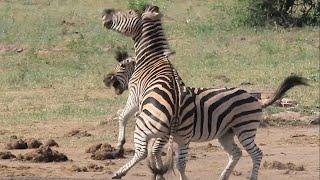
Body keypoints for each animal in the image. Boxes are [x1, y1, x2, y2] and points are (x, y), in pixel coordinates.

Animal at [104, 47, 308, 180]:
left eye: (122, 66)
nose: (107, 80)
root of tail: (255, 98)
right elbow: (156, 154)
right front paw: (157, 172)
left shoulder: (167, 133)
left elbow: (155, 153)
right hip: (226, 133)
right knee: (236, 153)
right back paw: (222, 177)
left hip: (245, 129)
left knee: (256, 154)